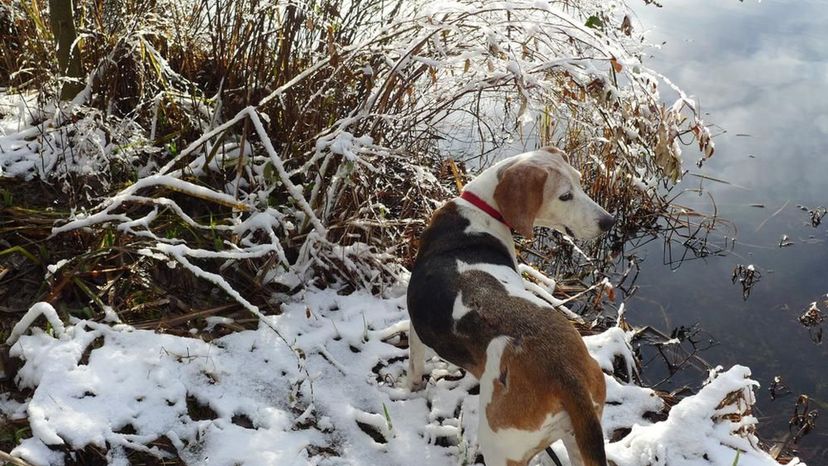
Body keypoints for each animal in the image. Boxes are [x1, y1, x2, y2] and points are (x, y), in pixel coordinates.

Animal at [408, 148, 616, 466]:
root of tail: (567, 375)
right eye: (566, 195)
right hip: (578, 436)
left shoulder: (416, 331)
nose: (609, 221)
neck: (481, 211)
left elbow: (414, 366)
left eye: (579, 183)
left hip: (498, 446)